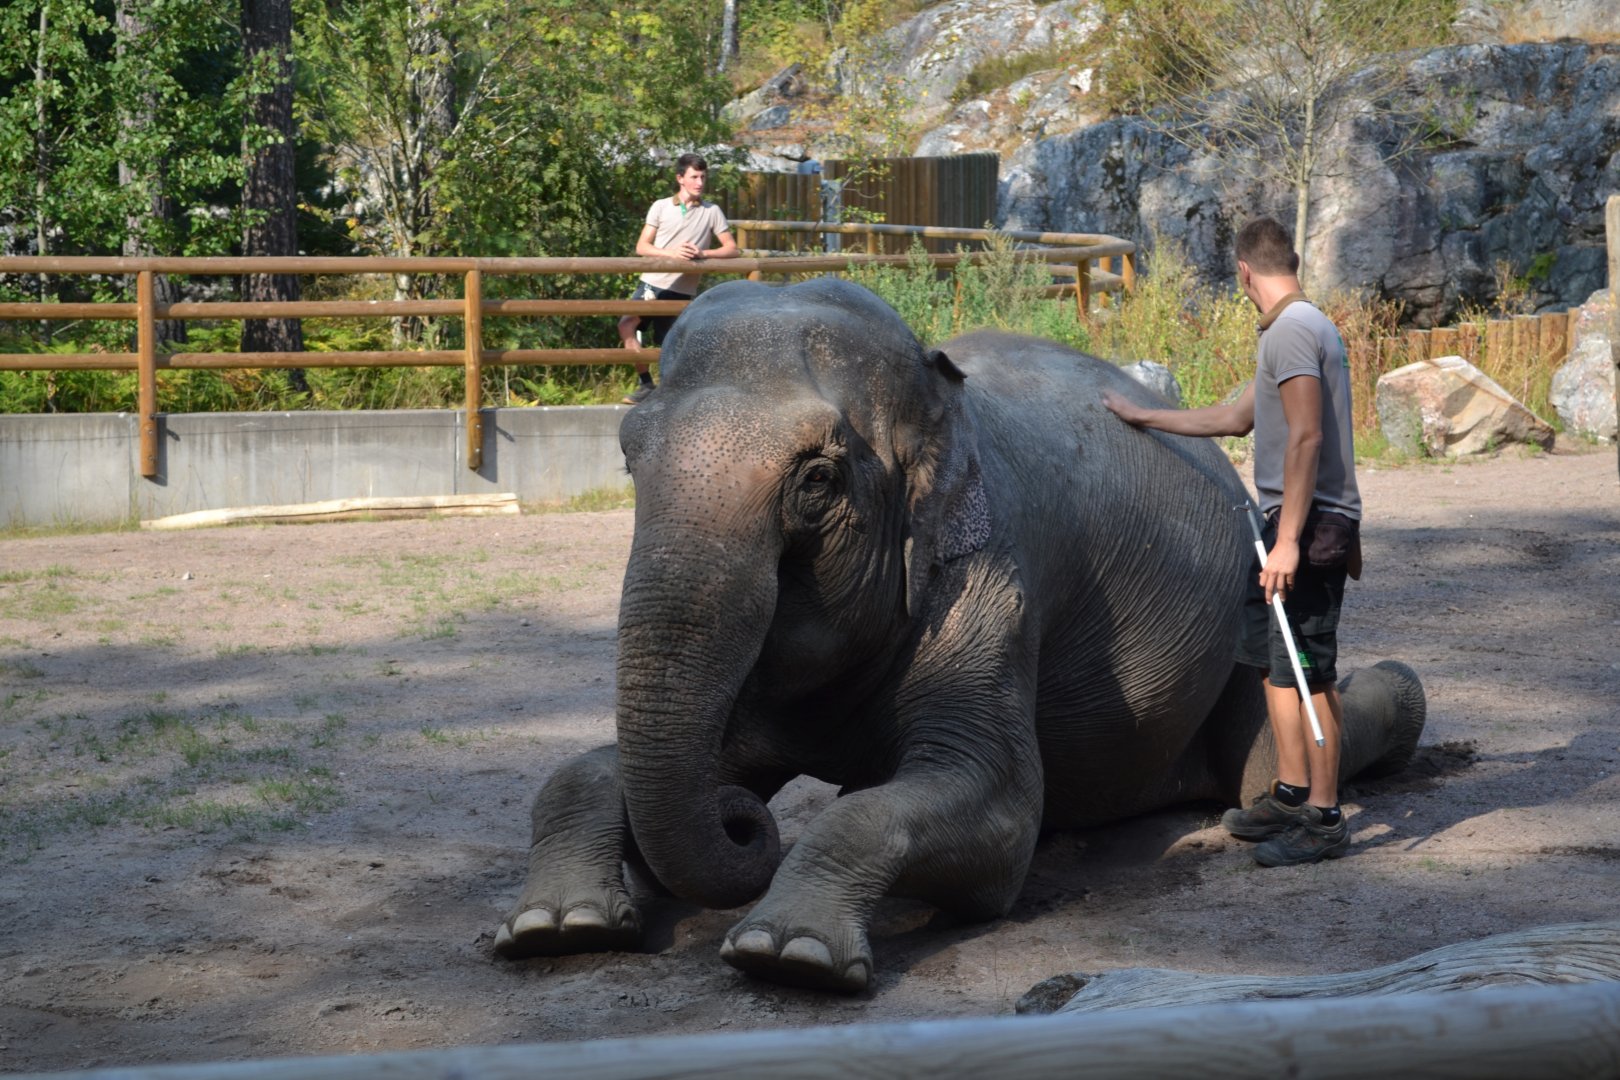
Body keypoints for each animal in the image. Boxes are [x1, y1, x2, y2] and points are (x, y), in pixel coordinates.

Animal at [492, 277, 1425, 993]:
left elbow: (1000, 811)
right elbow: (605, 766)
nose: (747, 822)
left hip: (1244, 618)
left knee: (1265, 755)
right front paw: (554, 930)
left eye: (817, 479)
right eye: (627, 456)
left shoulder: (994, 585)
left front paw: (787, 955)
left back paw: (1387, 705)